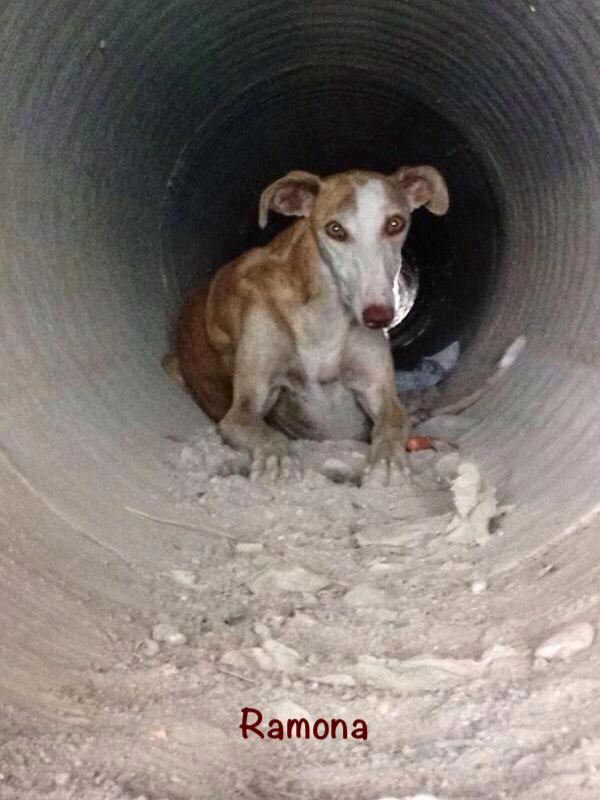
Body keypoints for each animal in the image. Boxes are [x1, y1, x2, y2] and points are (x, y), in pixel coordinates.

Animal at [167, 165, 449, 483]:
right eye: (335, 229)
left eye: (394, 223)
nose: (378, 316)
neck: (323, 315)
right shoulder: (241, 410)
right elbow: (265, 433)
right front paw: (277, 460)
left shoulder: (380, 393)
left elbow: (392, 424)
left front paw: (388, 462)